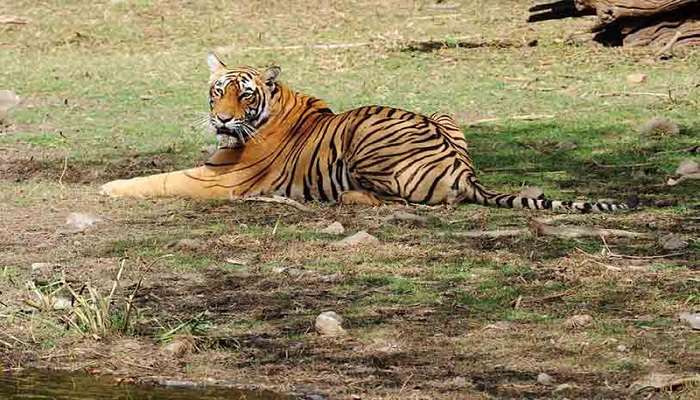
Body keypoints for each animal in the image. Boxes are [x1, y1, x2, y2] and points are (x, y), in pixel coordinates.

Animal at [101, 54, 636, 214]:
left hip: (365, 140)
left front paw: (108, 187)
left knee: (398, 199)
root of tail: (466, 172)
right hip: (441, 112)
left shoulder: (217, 179)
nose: (223, 121)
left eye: (243, 96)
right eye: (218, 92)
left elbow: (158, 180)